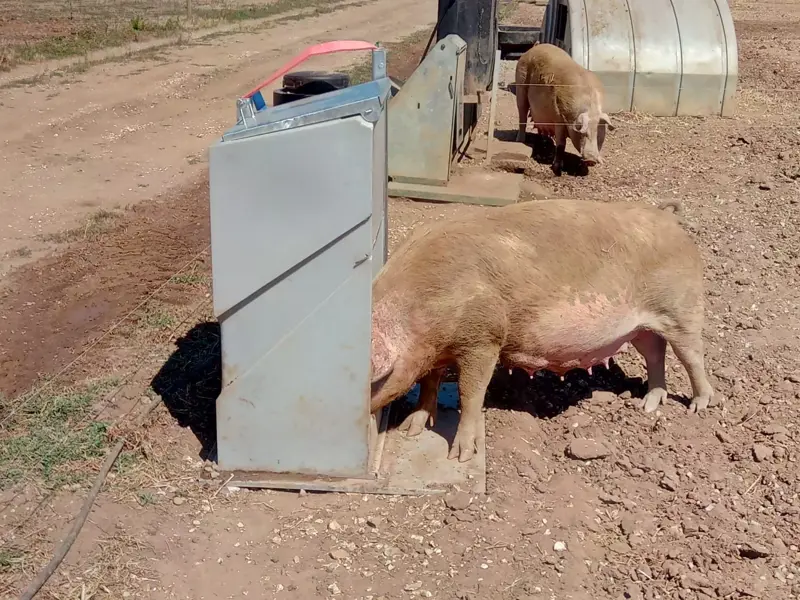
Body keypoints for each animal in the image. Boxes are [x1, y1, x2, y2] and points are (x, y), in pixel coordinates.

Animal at [370, 199, 716, 463]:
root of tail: (668, 217)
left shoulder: (484, 339)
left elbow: (471, 395)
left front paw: (461, 457)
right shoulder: (437, 351)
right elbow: (429, 384)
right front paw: (410, 428)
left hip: (683, 307)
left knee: (692, 355)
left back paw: (699, 406)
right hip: (641, 328)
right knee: (656, 353)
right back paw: (647, 404)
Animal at [514, 42, 614, 176]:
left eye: (598, 133)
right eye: (582, 132)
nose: (591, 160)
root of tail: (534, 47)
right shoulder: (558, 118)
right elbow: (561, 144)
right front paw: (557, 169)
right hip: (520, 86)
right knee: (522, 116)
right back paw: (520, 141)